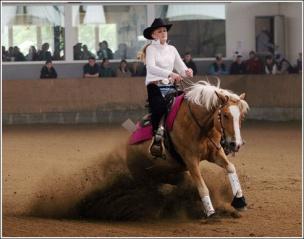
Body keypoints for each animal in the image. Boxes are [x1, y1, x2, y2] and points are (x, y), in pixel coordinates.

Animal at [126, 80, 249, 217]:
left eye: (241, 116)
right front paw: (210, 212)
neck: (197, 125)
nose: (235, 144)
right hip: (139, 175)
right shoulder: (190, 160)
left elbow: (230, 168)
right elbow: (202, 187)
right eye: (225, 115)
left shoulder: (215, 153)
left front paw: (240, 201)